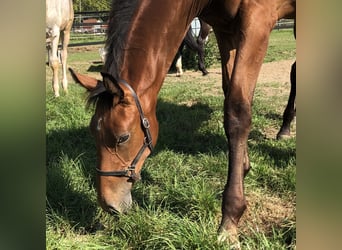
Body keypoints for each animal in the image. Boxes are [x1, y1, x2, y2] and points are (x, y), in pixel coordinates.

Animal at [69, 0, 294, 246]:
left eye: (123, 137)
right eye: (93, 133)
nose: (109, 205)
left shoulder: (257, 20)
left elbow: (237, 111)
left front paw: (229, 221)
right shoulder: (225, 30)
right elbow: (231, 94)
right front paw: (243, 166)